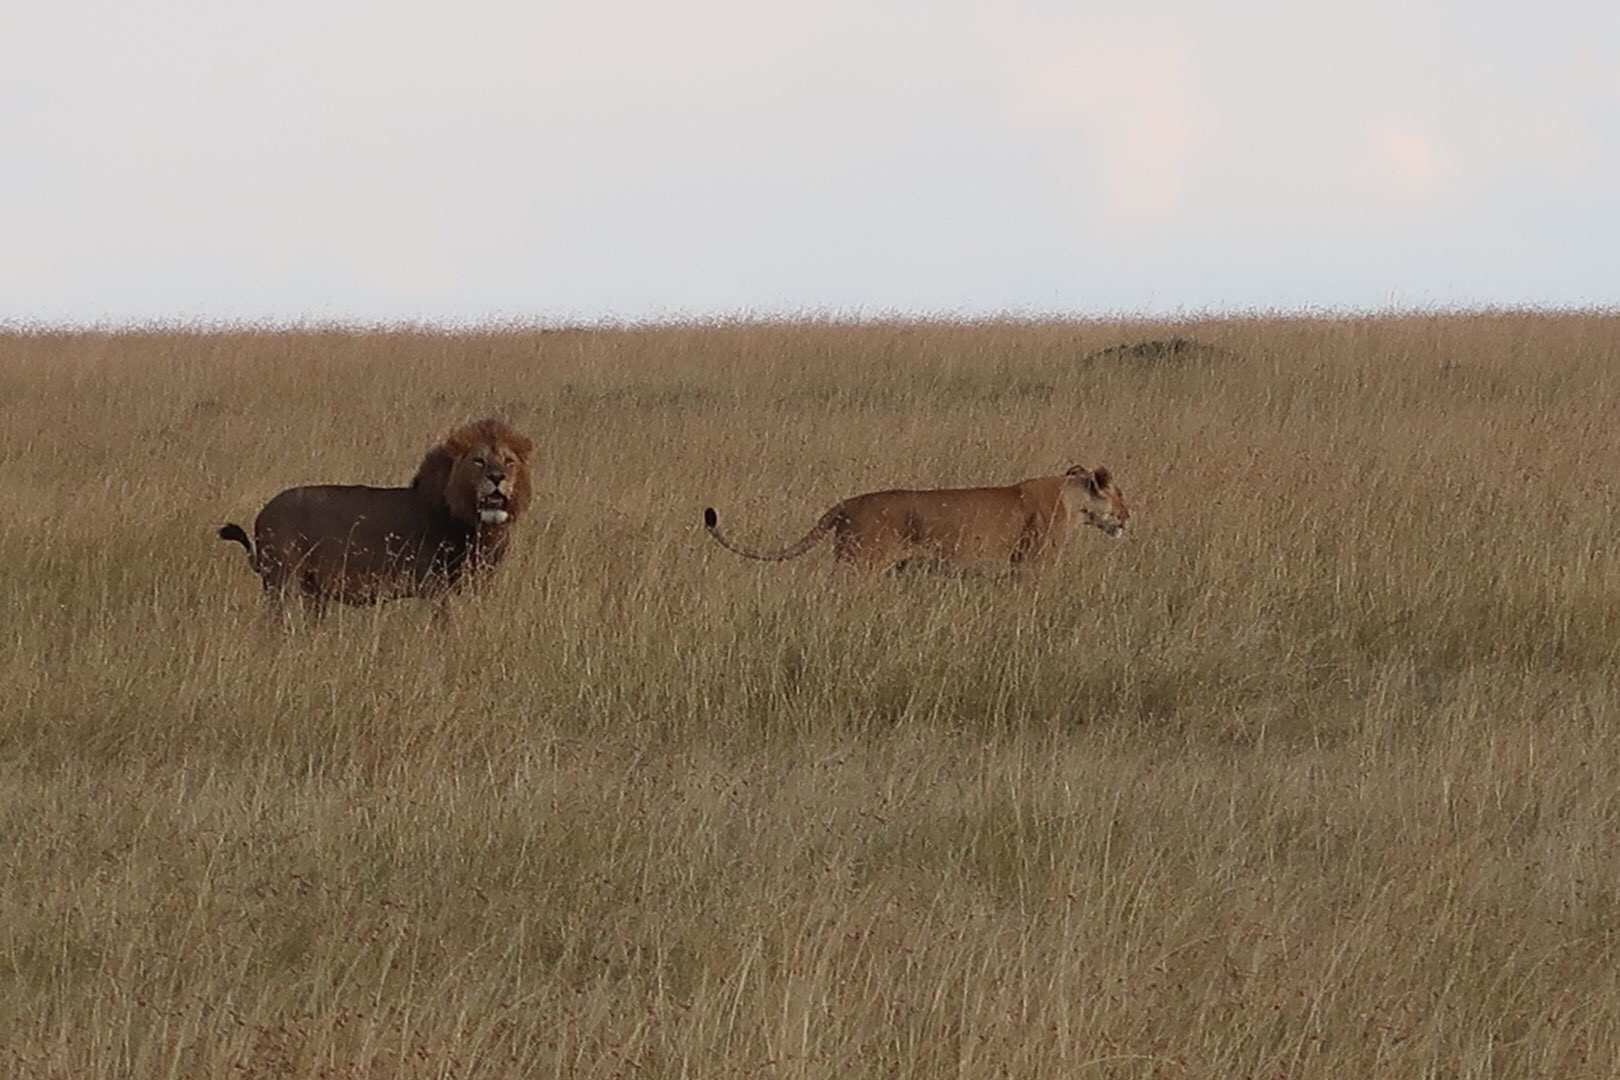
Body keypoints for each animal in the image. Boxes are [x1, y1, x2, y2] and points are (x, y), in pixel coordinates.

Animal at [215, 417, 537, 615]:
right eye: (478, 461)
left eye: (509, 461)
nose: (497, 477)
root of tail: (263, 512)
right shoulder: (435, 589)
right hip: (281, 580)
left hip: (311, 590)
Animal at [703, 469, 1134, 579]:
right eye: (1120, 496)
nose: (1129, 518)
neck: (1074, 502)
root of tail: (846, 503)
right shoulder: (1031, 564)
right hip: (860, 565)